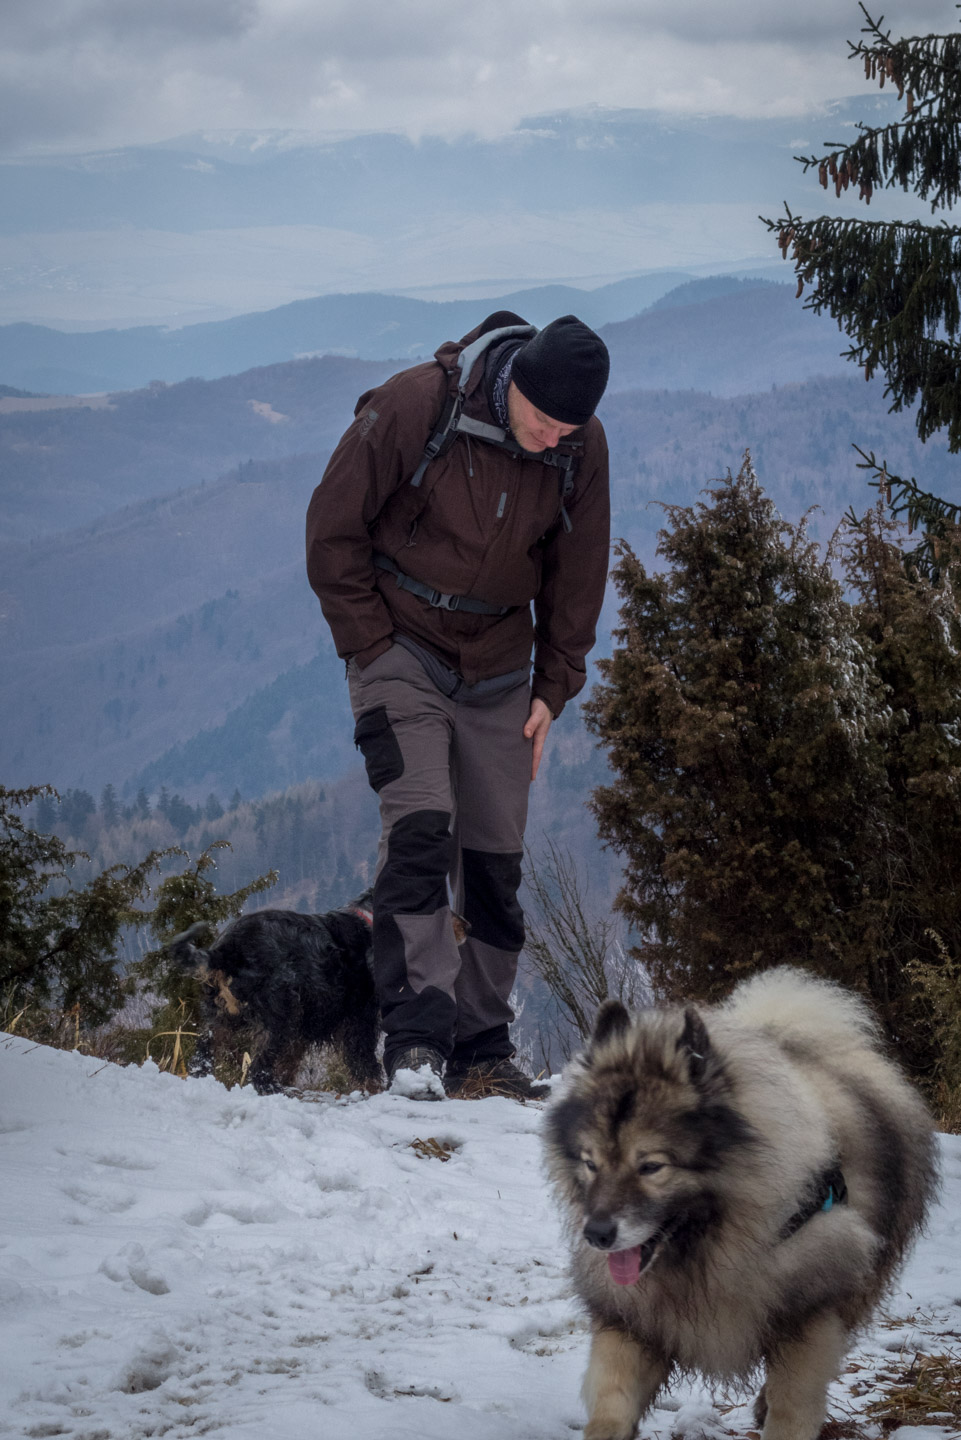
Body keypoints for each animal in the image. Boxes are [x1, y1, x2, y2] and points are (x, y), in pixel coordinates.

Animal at [163, 887, 377, 1088]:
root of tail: (227, 949)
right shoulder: (359, 1018)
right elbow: (365, 1064)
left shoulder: (303, 1030)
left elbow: (289, 1064)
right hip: (279, 1017)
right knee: (259, 1068)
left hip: (219, 1019)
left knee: (202, 1059)